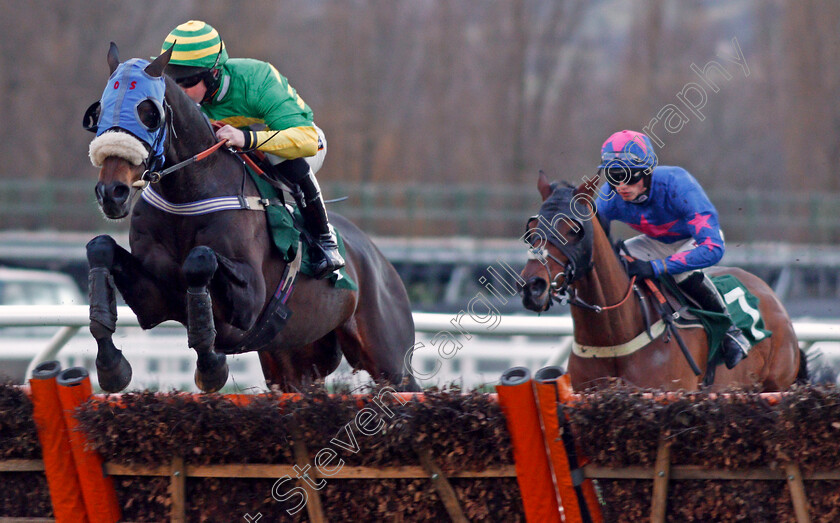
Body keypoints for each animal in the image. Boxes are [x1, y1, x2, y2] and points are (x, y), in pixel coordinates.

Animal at [83, 44, 418, 392]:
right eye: (99, 113)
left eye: (149, 114)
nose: (112, 192)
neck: (188, 195)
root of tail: (378, 258)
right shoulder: (155, 301)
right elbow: (101, 248)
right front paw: (111, 366)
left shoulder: (249, 304)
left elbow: (199, 260)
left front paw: (211, 366)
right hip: (292, 364)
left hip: (391, 360)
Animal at [520, 174, 804, 390]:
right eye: (531, 229)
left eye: (573, 229)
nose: (533, 286)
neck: (613, 338)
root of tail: (771, 294)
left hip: (775, 385)